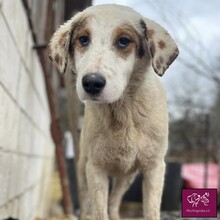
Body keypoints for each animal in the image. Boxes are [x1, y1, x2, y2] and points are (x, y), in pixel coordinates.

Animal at [48, 3, 179, 220]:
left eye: (124, 41)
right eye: (83, 39)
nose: (92, 83)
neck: (123, 111)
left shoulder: (154, 167)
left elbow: (151, 210)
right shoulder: (95, 168)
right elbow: (99, 211)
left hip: (127, 177)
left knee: (114, 201)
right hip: (83, 168)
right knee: (87, 203)